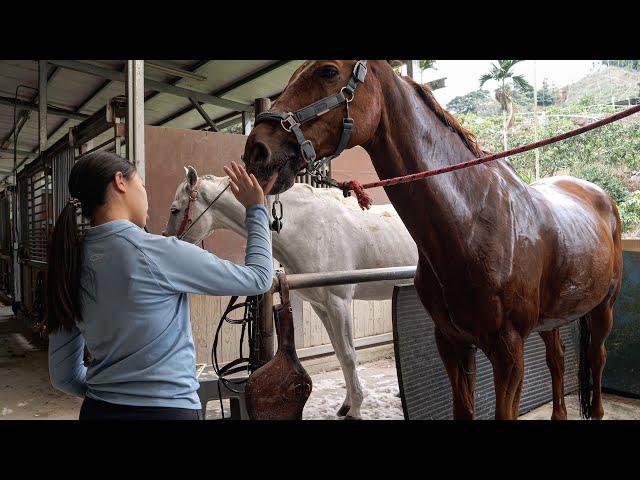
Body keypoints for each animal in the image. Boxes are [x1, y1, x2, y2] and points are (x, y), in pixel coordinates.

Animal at [162, 167, 418, 418]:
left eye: (175, 210)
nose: (166, 239)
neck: (309, 228)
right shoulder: (322, 306)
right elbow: (339, 353)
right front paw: (346, 405)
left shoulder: (339, 303)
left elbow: (348, 354)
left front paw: (355, 409)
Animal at [242, 60, 624, 420]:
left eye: (327, 71)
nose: (256, 149)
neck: (473, 224)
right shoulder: (452, 343)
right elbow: (463, 409)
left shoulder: (508, 351)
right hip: (551, 320)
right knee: (557, 360)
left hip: (603, 309)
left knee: (598, 360)